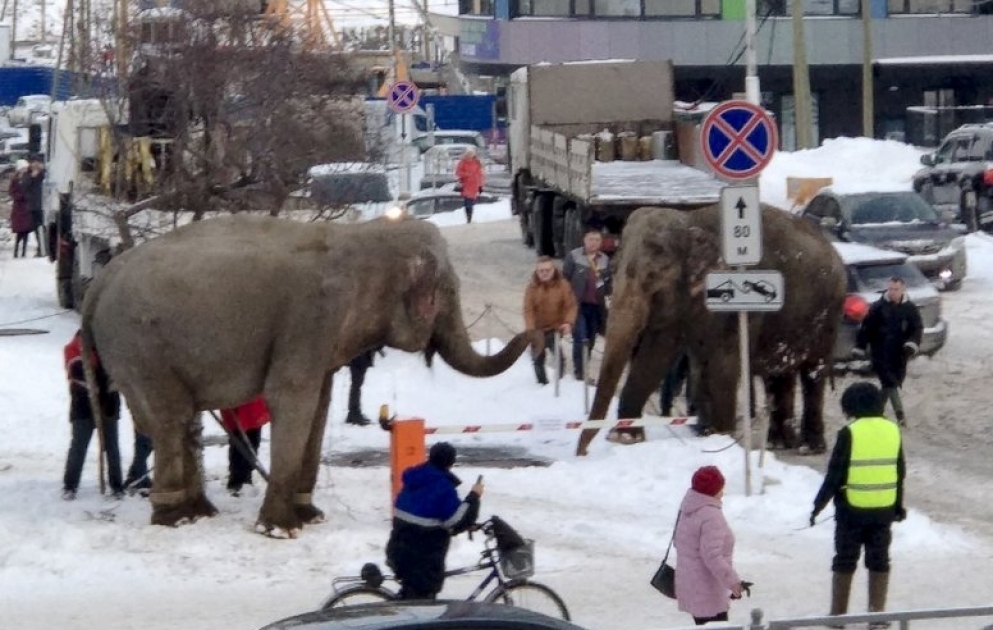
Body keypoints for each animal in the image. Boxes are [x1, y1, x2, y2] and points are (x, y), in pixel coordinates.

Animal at [80, 215, 529, 536]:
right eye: (446, 291)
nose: (530, 331)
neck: (361, 236)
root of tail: (99, 283)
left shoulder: (324, 337)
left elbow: (320, 405)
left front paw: (310, 516)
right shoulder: (311, 318)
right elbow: (292, 396)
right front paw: (281, 530)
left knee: (182, 420)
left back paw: (199, 513)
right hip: (140, 348)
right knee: (170, 420)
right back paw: (177, 518)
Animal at [576, 204, 846, 456]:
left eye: (652, 277)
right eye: (613, 268)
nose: (582, 452)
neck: (689, 221)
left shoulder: (734, 304)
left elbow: (723, 365)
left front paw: (720, 439)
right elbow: (656, 355)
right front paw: (626, 438)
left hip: (828, 314)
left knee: (813, 373)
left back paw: (809, 447)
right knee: (779, 375)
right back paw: (778, 442)